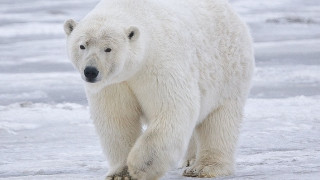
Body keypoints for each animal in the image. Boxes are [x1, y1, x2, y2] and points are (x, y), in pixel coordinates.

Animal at [64, 0, 255, 179]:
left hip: (228, 71)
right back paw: (189, 160)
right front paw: (120, 173)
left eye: (108, 48)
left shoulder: (159, 63)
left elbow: (172, 109)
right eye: (82, 45)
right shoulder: (114, 84)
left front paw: (140, 167)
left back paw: (204, 167)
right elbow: (117, 119)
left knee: (219, 121)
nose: (90, 71)